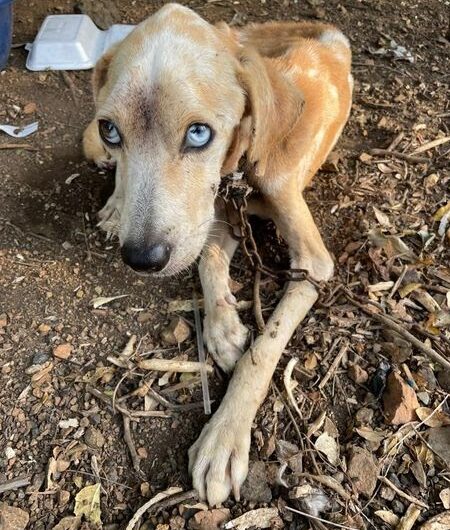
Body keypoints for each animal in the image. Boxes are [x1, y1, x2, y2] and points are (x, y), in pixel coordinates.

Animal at [83, 4, 352, 506]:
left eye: (198, 133)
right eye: (111, 130)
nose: (141, 258)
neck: (243, 165)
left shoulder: (313, 263)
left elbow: (263, 349)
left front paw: (223, 436)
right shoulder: (215, 215)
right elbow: (208, 258)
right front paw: (224, 328)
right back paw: (114, 205)